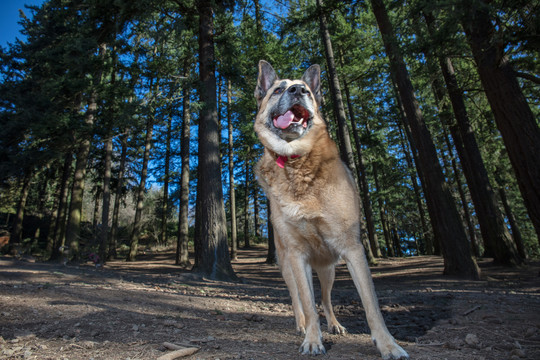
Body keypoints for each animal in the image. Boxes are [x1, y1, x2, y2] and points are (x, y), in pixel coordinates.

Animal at [253, 60, 410, 358]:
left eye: (307, 91)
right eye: (278, 89)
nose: (298, 90)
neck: (297, 163)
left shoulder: (352, 250)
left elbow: (371, 306)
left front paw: (388, 344)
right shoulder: (298, 256)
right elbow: (307, 303)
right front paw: (312, 340)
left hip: (329, 270)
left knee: (325, 300)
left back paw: (335, 324)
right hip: (288, 266)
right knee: (299, 300)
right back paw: (302, 325)